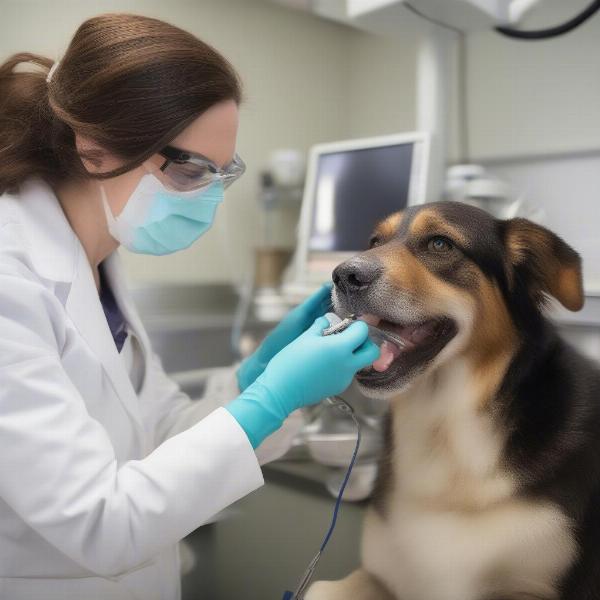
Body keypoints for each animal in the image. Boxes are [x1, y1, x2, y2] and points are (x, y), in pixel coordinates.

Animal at [308, 202, 600, 600]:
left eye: (440, 244)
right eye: (374, 242)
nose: (344, 275)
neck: (444, 426)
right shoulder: (379, 576)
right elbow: (319, 589)